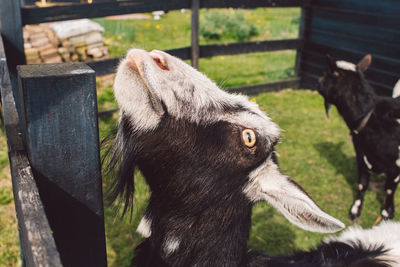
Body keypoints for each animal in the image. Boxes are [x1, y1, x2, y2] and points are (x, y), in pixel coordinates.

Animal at [318, 55, 398, 222]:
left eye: (326, 74)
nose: (317, 81)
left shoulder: (396, 167)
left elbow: (389, 190)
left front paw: (387, 211)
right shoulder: (361, 155)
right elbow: (362, 184)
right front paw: (356, 208)